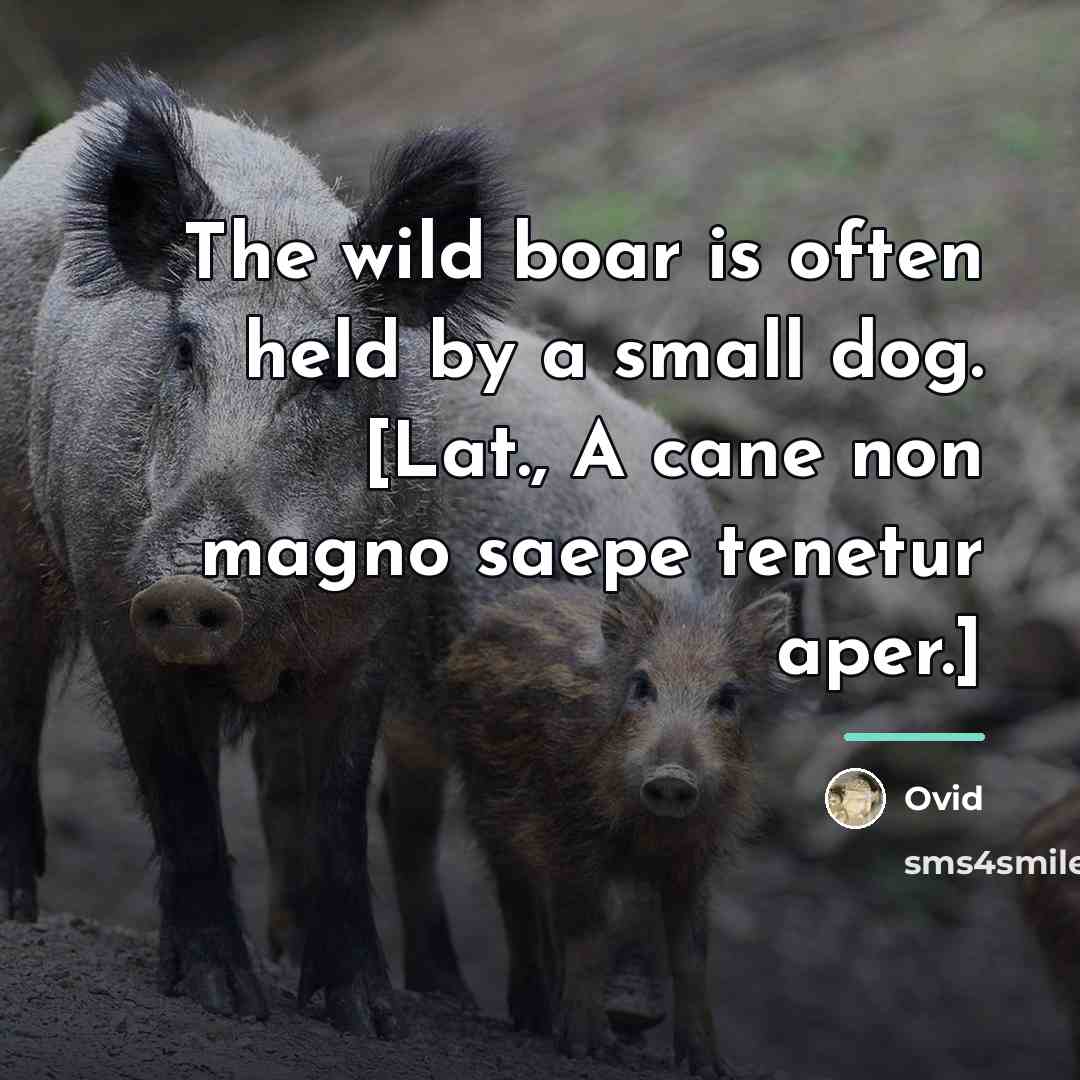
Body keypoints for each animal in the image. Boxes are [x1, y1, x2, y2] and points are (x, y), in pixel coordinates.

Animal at [0, 63, 516, 1036]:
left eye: (331, 369)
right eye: (184, 348)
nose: (190, 587)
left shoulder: (371, 631)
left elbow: (337, 807)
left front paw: (365, 1017)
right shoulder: (113, 596)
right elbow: (178, 791)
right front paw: (226, 1004)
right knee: (18, 694)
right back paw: (16, 911)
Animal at [443, 579, 793, 1074]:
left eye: (727, 697)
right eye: (642, 685)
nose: (672, 777)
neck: (647, 834)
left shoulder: (695, 857)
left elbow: (691, 952)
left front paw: (709, 1066)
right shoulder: (569, 834)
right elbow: (588, 929)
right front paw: (588, 1049)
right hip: (485, 800)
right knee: (516, 900)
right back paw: (534, 1019)